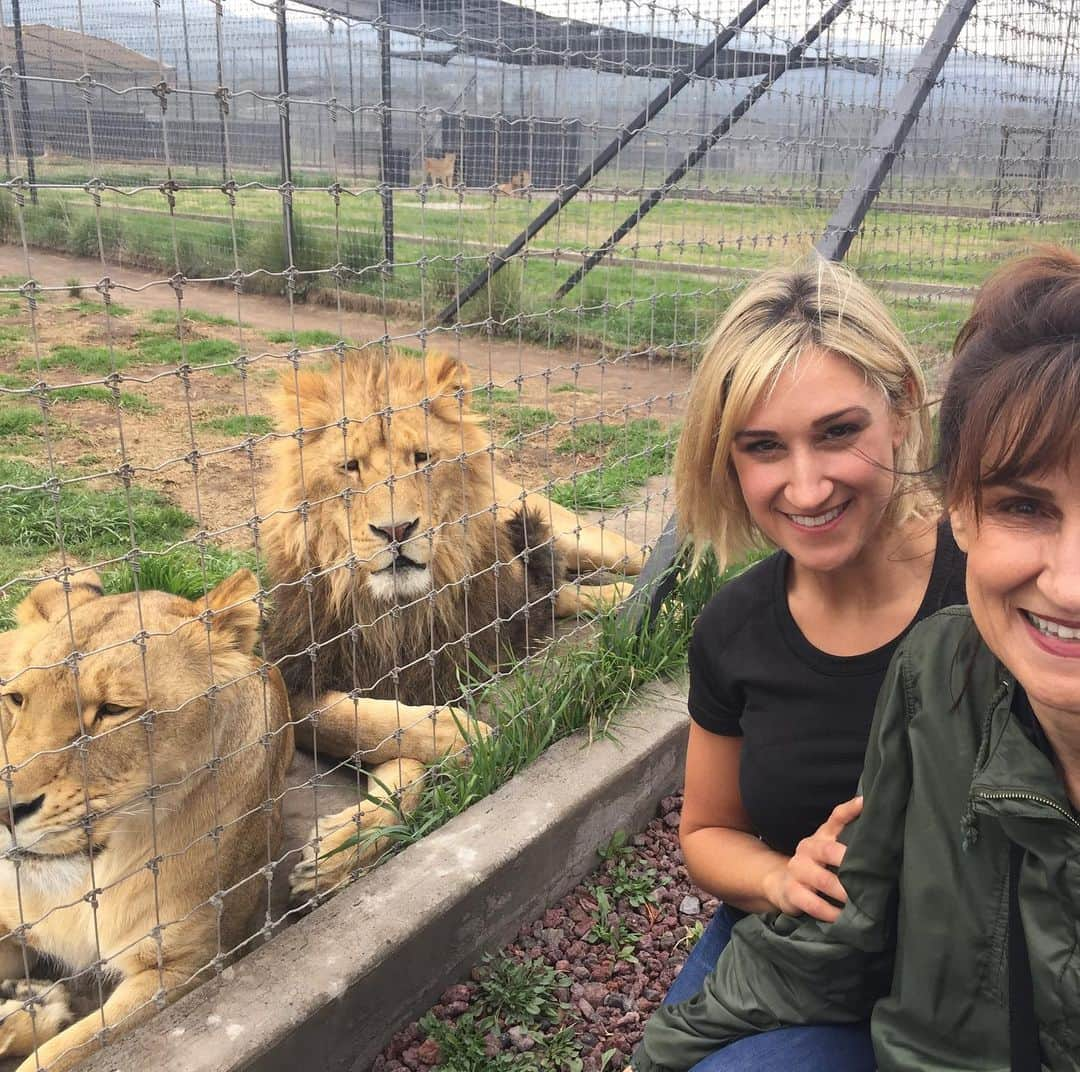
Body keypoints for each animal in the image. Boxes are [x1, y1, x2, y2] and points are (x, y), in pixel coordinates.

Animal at [265, 349, 639, 893]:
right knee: (569, 596)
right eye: (350, 467)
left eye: (421, 459)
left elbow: (390, 740)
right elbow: (358, 722)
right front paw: (340, 849)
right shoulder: (292, 673)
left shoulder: (449, 664)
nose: (396, 529)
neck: (394, 611)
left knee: (640, 558)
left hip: (580, 538)